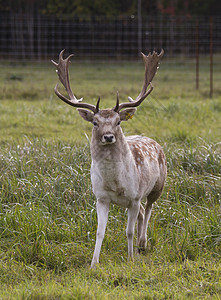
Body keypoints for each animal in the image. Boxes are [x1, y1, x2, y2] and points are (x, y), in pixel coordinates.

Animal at [52, 49, 166, 270]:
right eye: (95, 122)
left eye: (118, 121)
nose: (108, 136)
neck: (115, 183)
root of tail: (153, 140)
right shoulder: (101, 197)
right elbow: (99, 231)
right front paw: (93, 263)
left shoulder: (134, 196)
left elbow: (128, 231)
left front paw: (130, 259)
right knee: (142, 213)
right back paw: (139, 247)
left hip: (158, 186)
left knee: (148, 209)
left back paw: (142, 243)